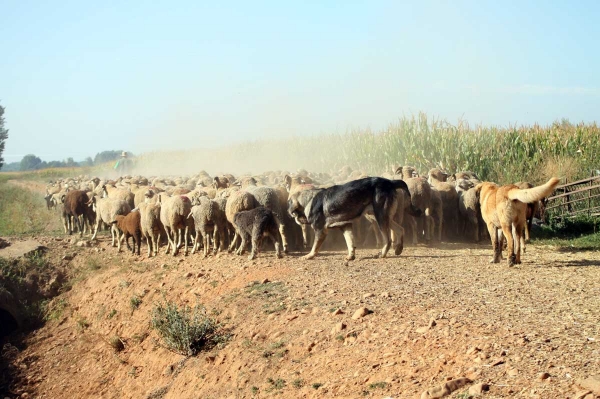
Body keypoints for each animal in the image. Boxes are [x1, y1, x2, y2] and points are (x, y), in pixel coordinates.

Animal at [288, 178, 420, 262]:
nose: (291, 215)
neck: (308, 200)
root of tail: (390, 182)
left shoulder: (320, 231)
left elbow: (315, 247)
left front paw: (308, 256)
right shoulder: (346, 226)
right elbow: (350, 243)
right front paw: (351, 256)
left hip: (380, 217)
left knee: (387, 239)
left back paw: (383, 254)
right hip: (380, 216)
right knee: (400, 229)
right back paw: (398, 249)